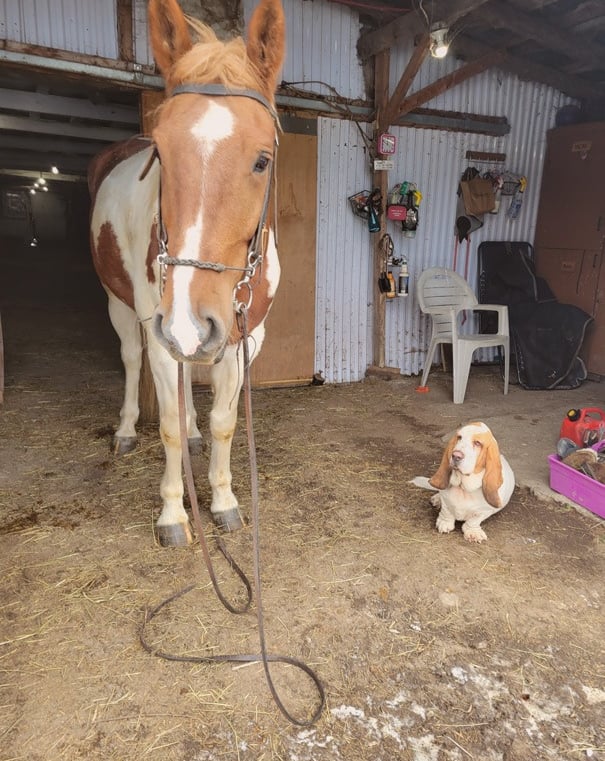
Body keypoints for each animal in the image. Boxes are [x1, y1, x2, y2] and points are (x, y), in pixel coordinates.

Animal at [88, 0, 286, 546]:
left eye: (262, 160)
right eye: (160, 153)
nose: (188, 320)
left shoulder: (243, 337)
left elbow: (223, 421)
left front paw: (223, 502)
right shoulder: (164, 334)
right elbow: (170, 425)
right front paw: (175, 514)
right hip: (122, 306)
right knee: (132, 360)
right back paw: (126, 431)